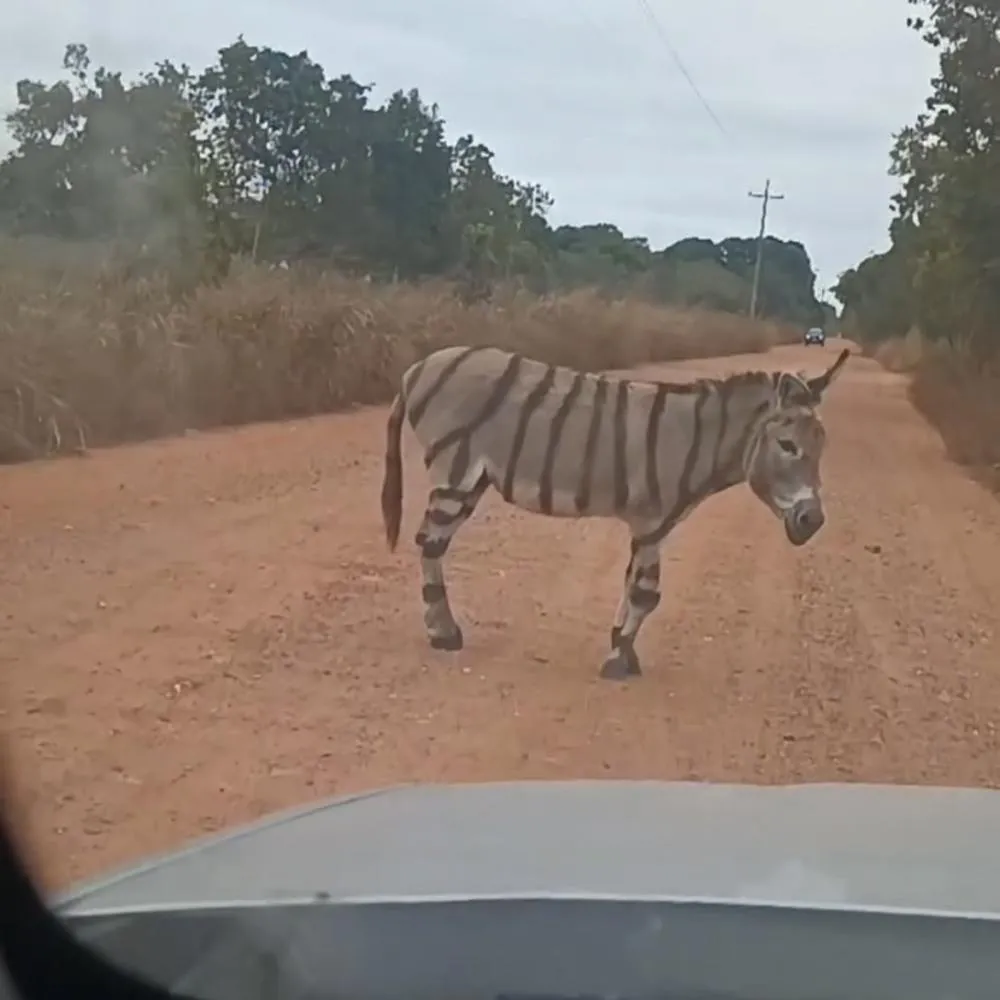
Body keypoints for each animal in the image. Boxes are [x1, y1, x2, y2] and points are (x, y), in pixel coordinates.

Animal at [381, 344, 850, 680]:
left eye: (822, 447)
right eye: (787, 446)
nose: (813, 521)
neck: (698, 442)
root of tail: (416, 368)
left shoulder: (652, 527)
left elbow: (636, 587)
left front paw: (623, 649)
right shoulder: (650, 520)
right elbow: (646, 593)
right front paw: (618, 660)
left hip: (471, 482)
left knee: (432, 543)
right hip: (454, 475)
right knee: (430, 544)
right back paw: (443, 634)